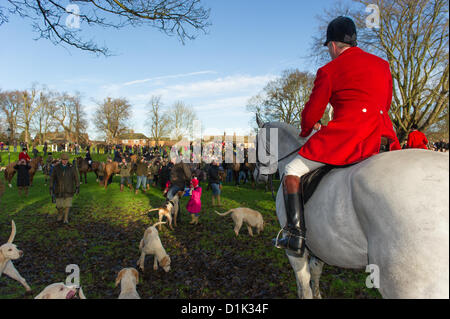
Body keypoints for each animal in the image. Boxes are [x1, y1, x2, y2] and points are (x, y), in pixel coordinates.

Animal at [256, 120, 450, 300]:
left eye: (256, 143)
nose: (258, 176)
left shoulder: (295, 252)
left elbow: (304, 287)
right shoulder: (320, 245)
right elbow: (315, 273)